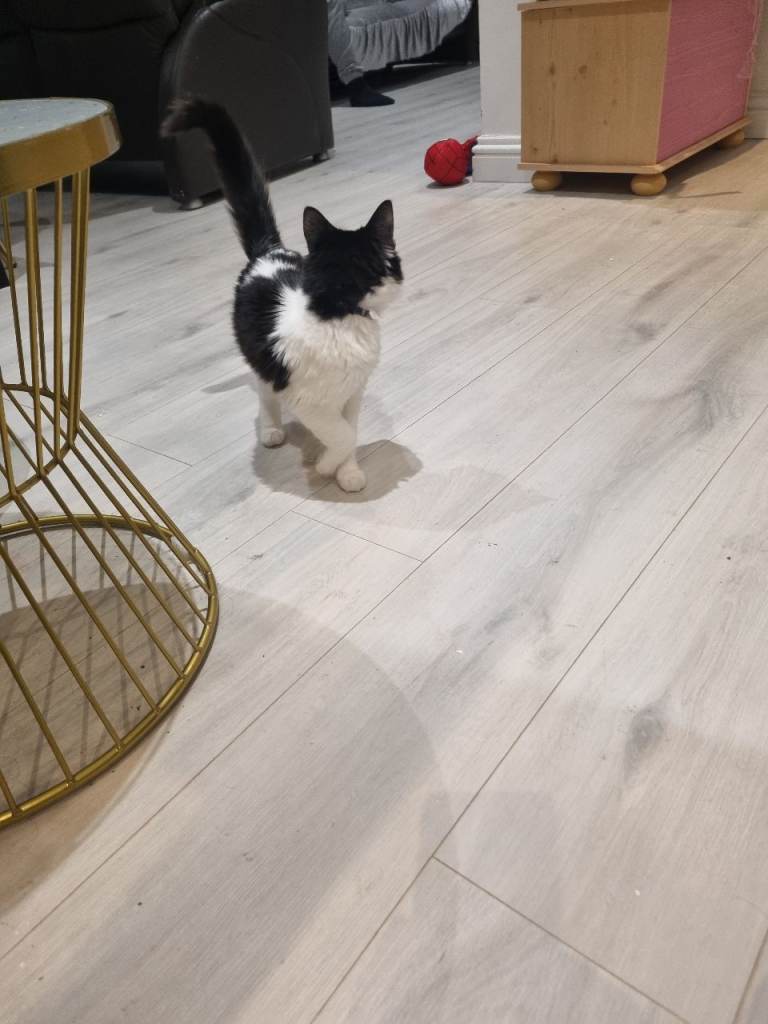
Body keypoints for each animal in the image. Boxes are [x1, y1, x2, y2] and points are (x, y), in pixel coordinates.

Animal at [161, 99, 403, 492]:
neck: (337, 315)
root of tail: (269, 251)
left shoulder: (354, 391)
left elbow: (350, 429)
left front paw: (348, 473)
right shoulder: (306, 398)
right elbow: (342, 434)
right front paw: (325, 466)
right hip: (260, 357)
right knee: (264, 393)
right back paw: (272, 430)